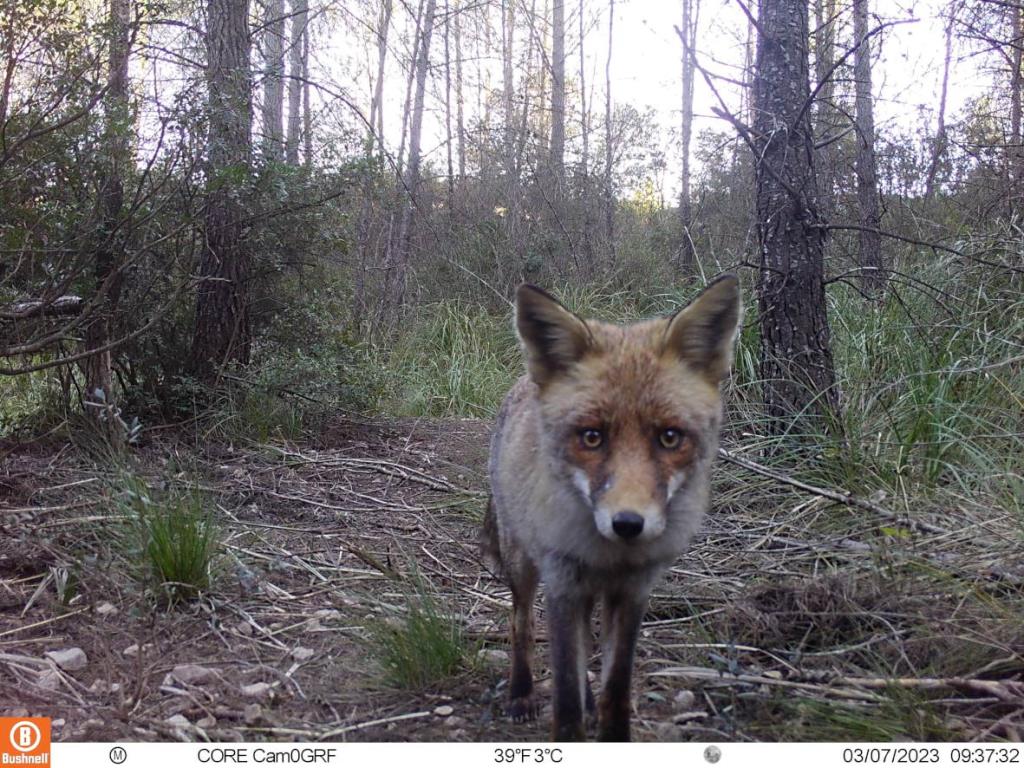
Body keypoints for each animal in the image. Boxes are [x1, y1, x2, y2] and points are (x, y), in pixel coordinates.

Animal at [483, 274, 741, 741]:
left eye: (670, 437)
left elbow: (616, 687)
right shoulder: (563, 584)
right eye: (592, 437)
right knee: (521, 625)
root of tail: (525, 381)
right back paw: (521, 693)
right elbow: (565, 697)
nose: (628, 524)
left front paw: (608, 727)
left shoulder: (633, 590)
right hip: (522, 564)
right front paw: (570, 725)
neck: (608, 555)